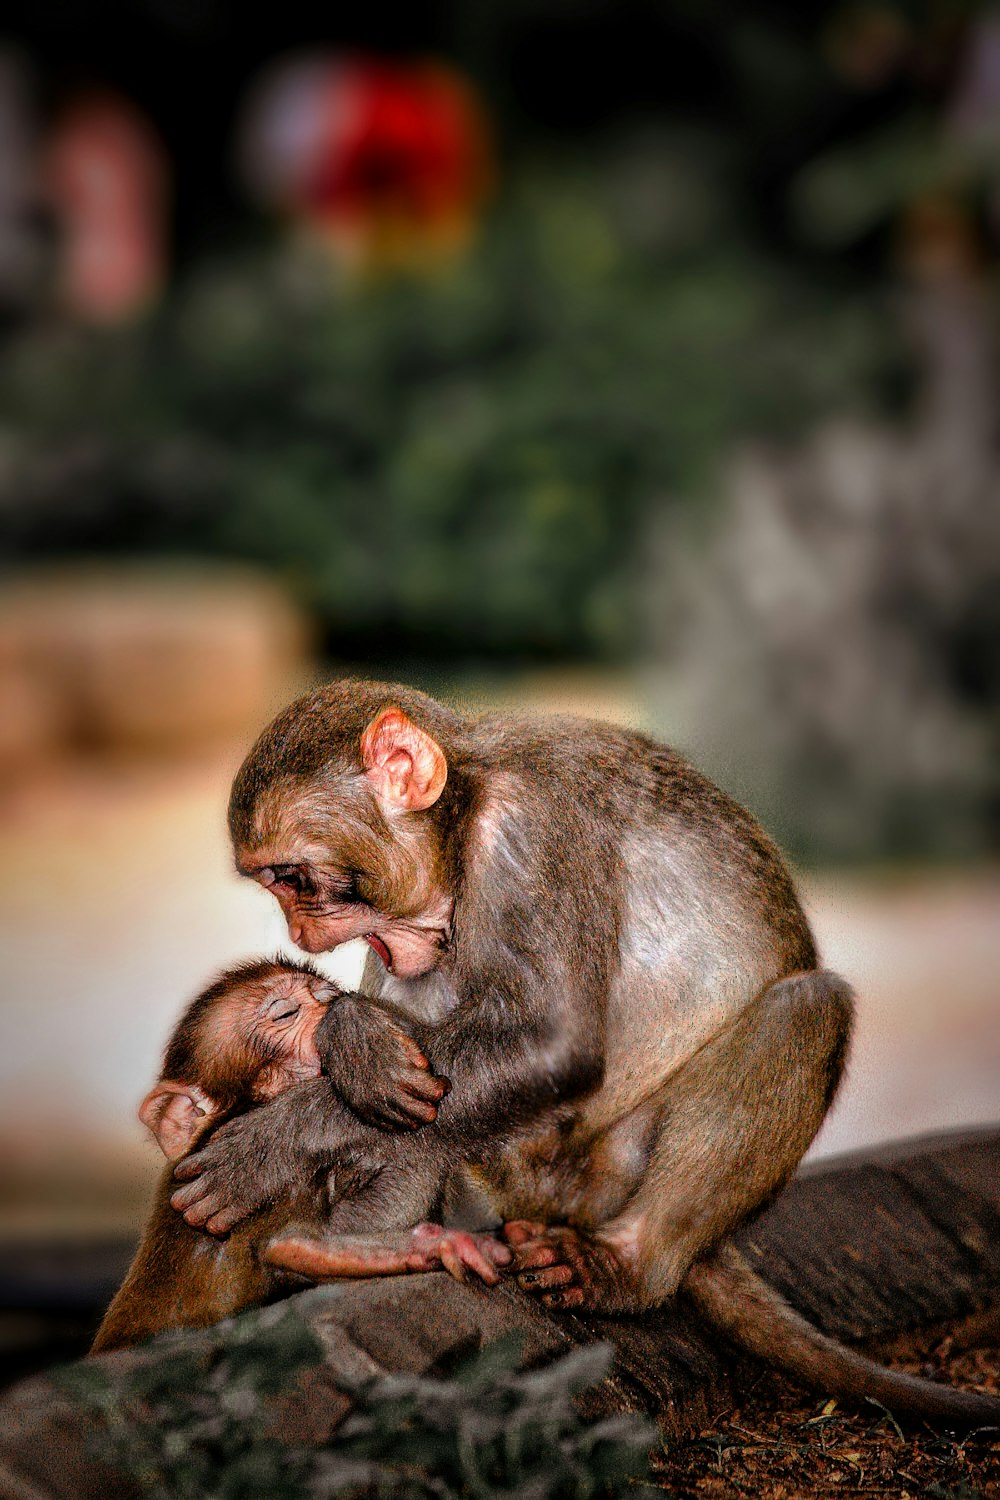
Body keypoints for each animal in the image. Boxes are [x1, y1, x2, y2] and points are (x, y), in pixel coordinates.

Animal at [173, 687, 1000, 1422]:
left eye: (296, 880)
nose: (304, 935)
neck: (469, 802)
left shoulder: (531, 833)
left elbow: (555, 1046)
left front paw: (272, 1144)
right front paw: (353, 1042)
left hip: (609, 1172)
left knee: (810, 1007)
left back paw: (631, 1264)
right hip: (512, 1175)